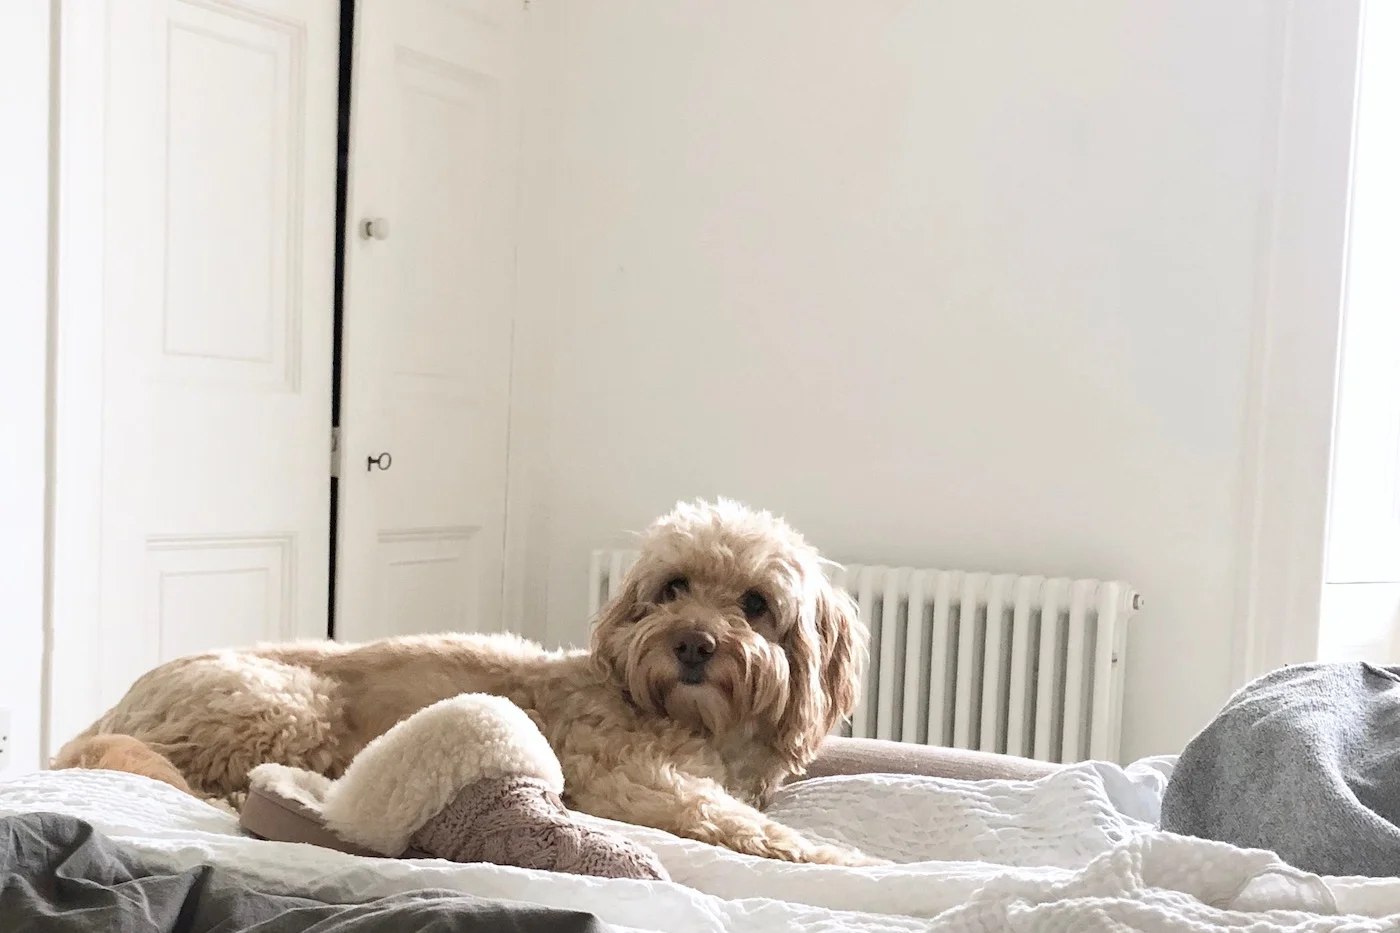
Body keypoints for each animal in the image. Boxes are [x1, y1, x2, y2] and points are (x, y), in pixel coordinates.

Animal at [57, 498, 873, 862]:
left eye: (756, 605)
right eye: (673, 588)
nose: (694, 645)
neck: (699, 720)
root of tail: (103, 715)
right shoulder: (635, 783)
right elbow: (736, 821)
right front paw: (842, 858)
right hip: (289, 704)